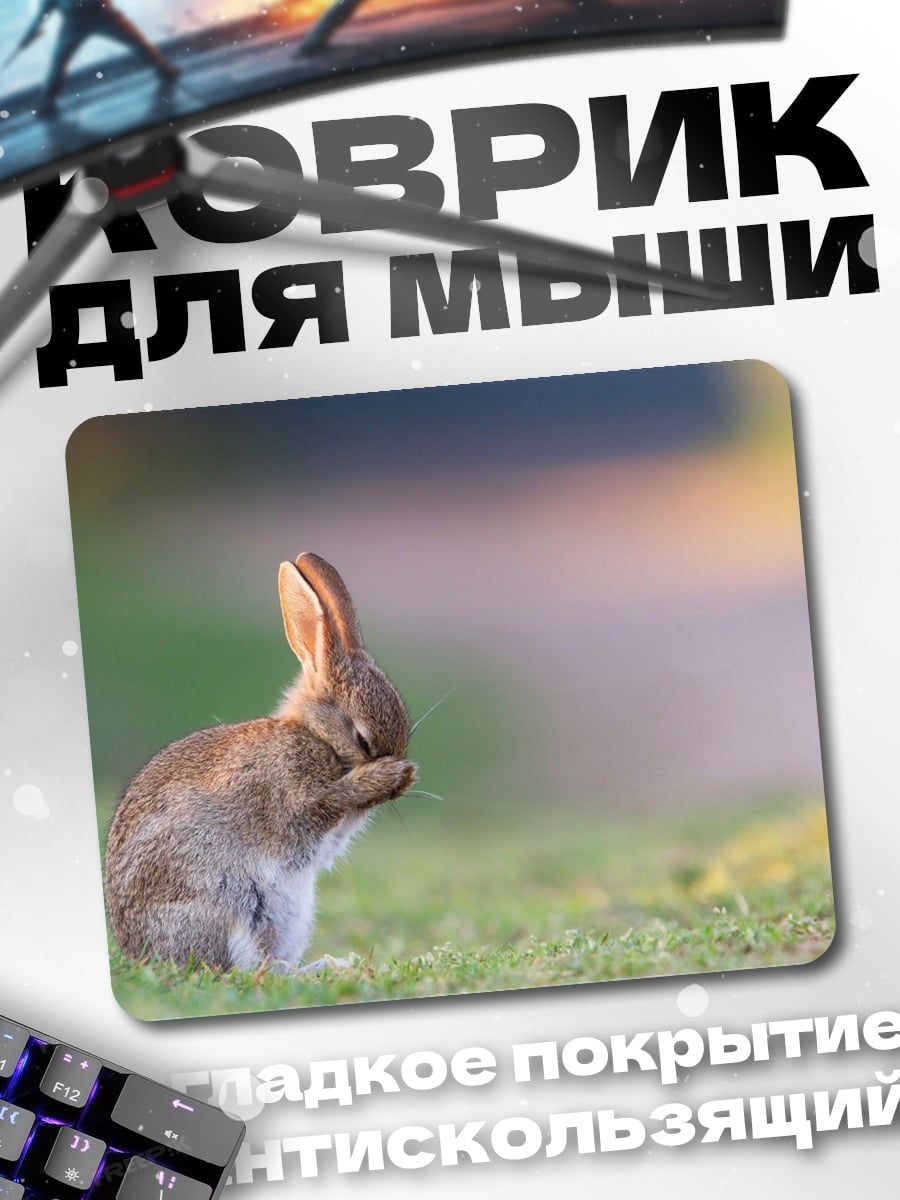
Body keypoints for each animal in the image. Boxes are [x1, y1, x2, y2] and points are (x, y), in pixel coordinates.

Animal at [104, 551, 417, 972]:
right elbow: (320, 807)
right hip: (228, 905)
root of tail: (140, 952)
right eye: (363, 740)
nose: (401, 775)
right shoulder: (291, 797)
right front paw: (386, 776)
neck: (316, 735)